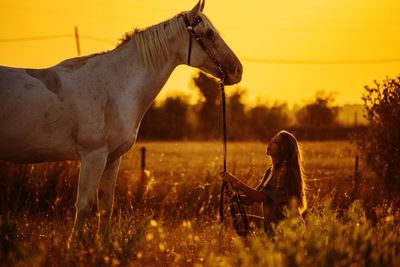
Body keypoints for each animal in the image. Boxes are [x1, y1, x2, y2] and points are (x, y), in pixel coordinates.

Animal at [0, 0, 242, 245]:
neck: (115, 87)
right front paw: (74, 246)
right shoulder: (93, 157)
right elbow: (84, 205)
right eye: (209, 33)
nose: (238, 70)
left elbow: (106, 206)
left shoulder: (112, 159)